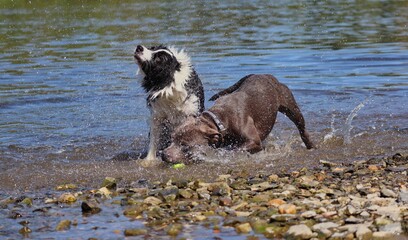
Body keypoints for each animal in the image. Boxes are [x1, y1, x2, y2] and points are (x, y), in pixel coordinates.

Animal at [163, 74, 316, 163]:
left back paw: (310, 145)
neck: (219, 120)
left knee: (301, 127)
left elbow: (237, 149)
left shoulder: (254, 141)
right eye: (171, 139)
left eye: (185, 146)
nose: (163, 154)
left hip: (292, 108)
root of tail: (262, 74)